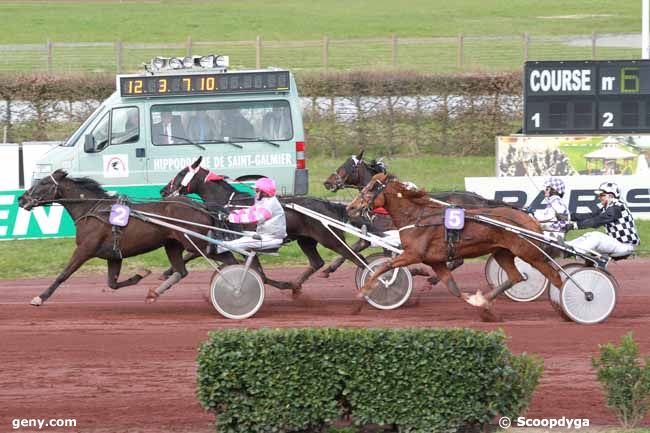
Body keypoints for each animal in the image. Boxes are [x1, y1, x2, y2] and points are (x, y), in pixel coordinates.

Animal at [17, 170, 234, 306]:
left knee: (230, 260)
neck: (92, 209)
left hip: (198, 243)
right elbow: (112, 284)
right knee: (182, 271)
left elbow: (63, 274)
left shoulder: (85, 249)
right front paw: (141, 273)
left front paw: (40, 298)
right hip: (173, 244)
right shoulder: (114, 255)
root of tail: (201, 206)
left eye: (43, 183)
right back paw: (155, 293)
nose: (21, 199)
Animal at [159, 156, 368, 294]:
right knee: (317, 262)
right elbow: (194, 252)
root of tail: (329, 204)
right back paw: (296, 285)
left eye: (181, 173)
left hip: (330, 239)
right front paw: (167, 272)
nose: (163, 190)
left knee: (357, 258)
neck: (229, 203)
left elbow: (259, 274)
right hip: (306, 240)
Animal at [344, 172, 560, 318]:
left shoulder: (413, 254)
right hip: (503, 252)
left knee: (555, 277)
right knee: (516, 276)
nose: (350, 207)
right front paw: (478, 302)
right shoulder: (436, 261)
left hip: (530, 253)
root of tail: (529, 218)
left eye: (371, 188)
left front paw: (362, 295)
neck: (417, 217)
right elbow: (453, 288)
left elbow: (384, 267)